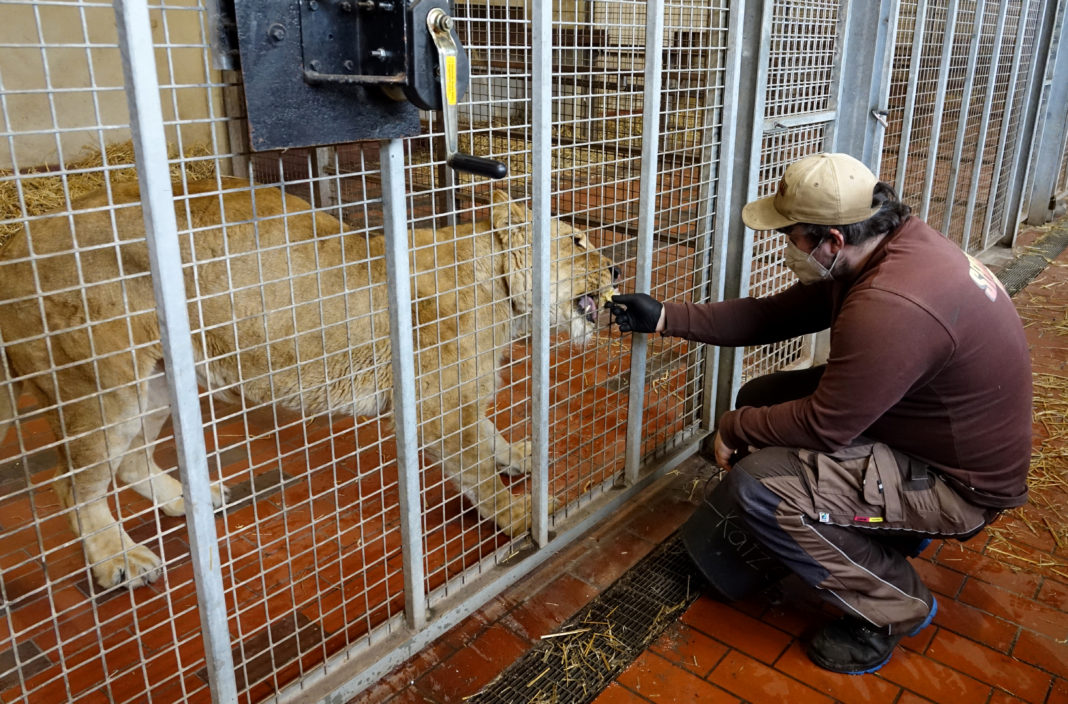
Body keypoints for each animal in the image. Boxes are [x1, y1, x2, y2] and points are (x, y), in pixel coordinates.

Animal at [0, 176, 619, 589]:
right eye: (578, 242)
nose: (615, 270)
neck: (502, 288)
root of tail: (13, 246)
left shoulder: (450, 398)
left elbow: (490, 436)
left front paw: (519, 456)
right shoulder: (437, 407)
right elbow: (479, 474)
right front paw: (526, 516)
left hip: (153, 381)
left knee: (127, 461)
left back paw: (190, 499)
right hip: (100, 383)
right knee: (71, 486)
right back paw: (120, 560)